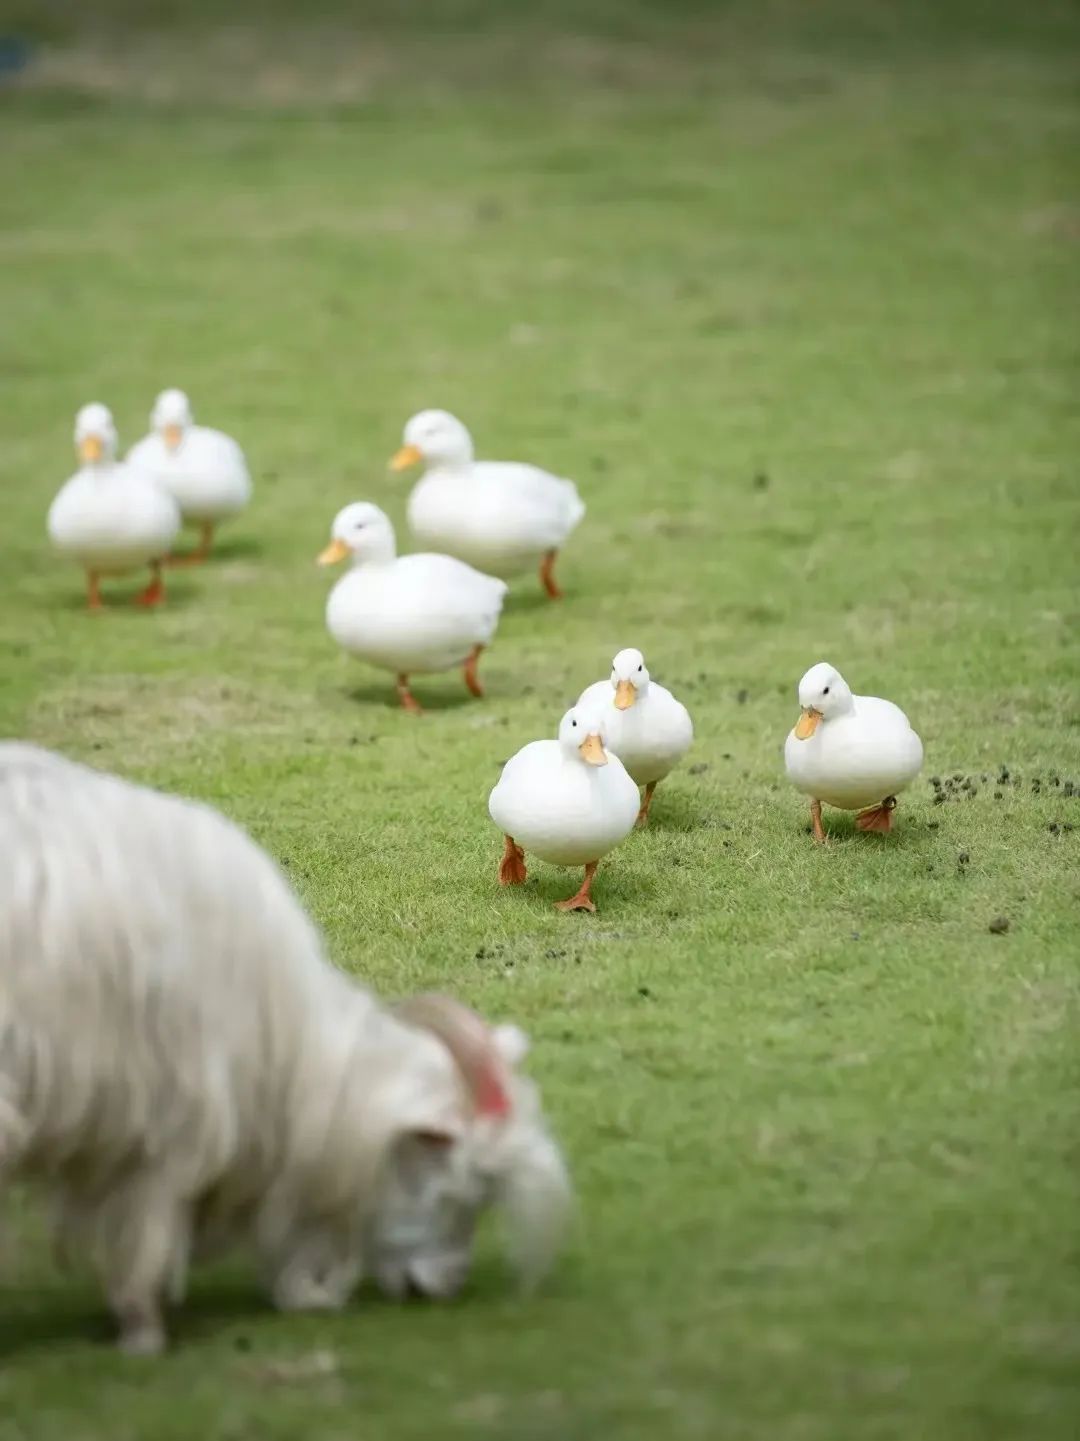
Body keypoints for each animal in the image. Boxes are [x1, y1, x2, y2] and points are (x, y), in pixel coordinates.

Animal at [0, 743, 573, 1348]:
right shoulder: (173, 1118)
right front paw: (144, 1332)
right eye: (461, 1183)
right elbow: (146, 1234)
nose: (442, 1288)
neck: (291, 1062)